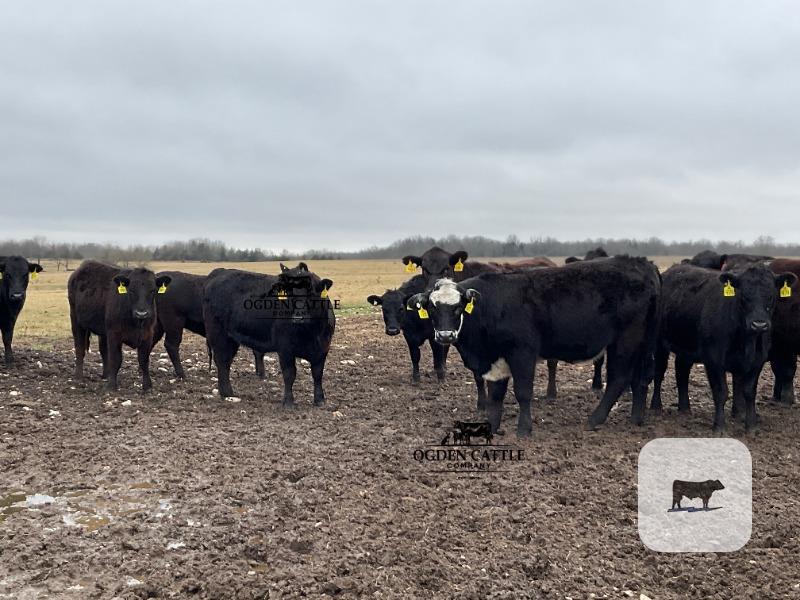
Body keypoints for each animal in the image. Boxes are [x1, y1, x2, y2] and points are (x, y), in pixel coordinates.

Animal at [68, 260, 171, 391]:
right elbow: (116, 359)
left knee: (103, 350)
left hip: (103, 331)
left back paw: (105, 375)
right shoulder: (114, 334)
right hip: (76, 321)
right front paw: (112, 385)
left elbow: (144, 360)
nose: (141, 313)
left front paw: (147, 385)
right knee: (80, 348)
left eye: (153, 290)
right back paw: (78, 376)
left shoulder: (147, 334)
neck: (136, 322)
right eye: (131, 290)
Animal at [203, 262, 335, 406]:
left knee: (226, 362)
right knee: (222, 361)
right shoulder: (285, 349)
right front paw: (288, 402)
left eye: (311, 292)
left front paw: (320, 400)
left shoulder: (323, 349)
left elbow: (317, 374)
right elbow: (289, 374)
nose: (298, 317)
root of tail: (220, 272)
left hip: (231, 339)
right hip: (218, 334)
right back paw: (228, 393)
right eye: (289, 293)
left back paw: (226, 393)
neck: (310, 332)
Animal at [407, 256, 661, 436]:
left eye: (458, 307)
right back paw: (636, 419)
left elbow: (523, 392)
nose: (445, 335)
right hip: (642, 342)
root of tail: (642, 263)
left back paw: (594, 420)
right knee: (639, 378)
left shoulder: (522, 353)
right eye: (431, 308)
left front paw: (524, 429)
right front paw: (492, 427)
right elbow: (495, 396)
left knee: (619, 379)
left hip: (625, 341)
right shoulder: (495, 359)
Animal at [650, 263, 796, 431]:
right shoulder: (713, 360)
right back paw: (656, 406)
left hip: (685, 347)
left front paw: (749, 423)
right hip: (659, 344)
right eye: (743, 296)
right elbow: (721, 393)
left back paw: (685, 408)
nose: (759, 324)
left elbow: (748, 391)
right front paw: (719, 426)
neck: (745, 341)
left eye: (771, 295)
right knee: (659, 372)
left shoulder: (757, 361)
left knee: (682, 371)